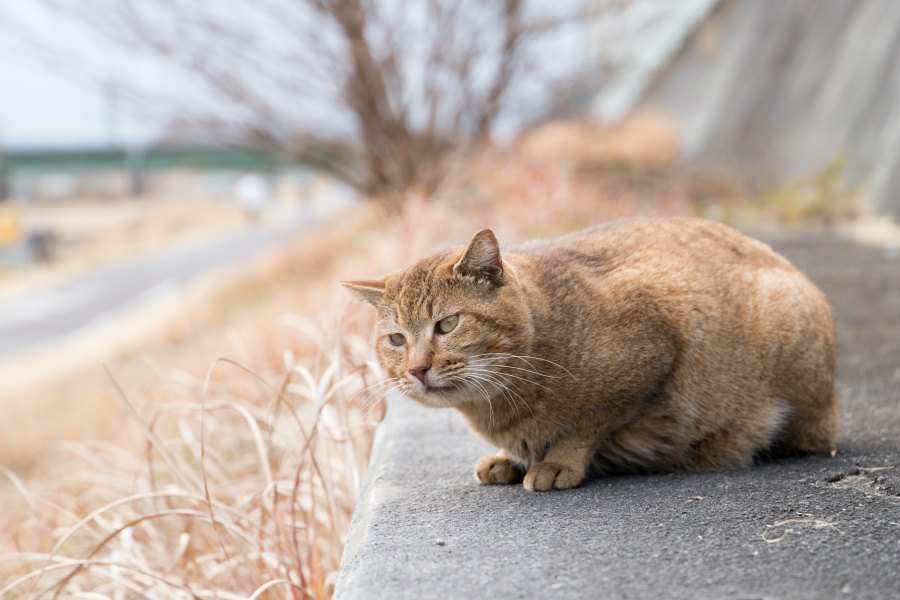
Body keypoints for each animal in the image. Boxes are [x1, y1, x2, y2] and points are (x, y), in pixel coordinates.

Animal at [342, 218, 840, 490]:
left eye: (447, 325)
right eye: (396, 340)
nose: (417, 368)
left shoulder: (651, 341)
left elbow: (585, 425)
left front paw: (558, 462)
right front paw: (511, 460)